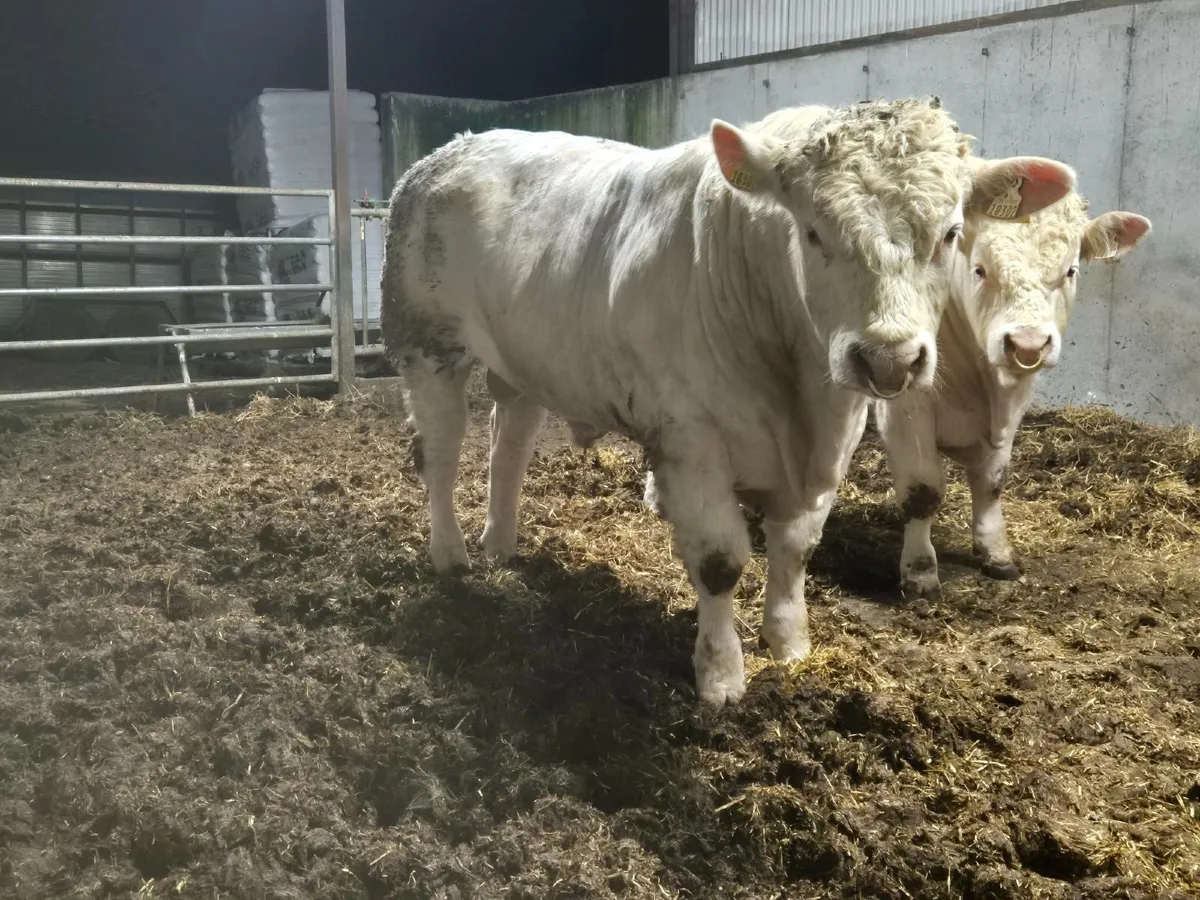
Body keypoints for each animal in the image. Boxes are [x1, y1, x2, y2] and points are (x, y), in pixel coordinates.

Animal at [380, 97, 1077, 705]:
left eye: (952, 233)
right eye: (813, 232)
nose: (888, 359)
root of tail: (453, 148)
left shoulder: (837, 435)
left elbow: (796, 547)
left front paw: (790, 644)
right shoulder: (690, 439)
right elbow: (719, 562)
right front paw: (720, 676)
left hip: (522, 361)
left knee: (511, 445)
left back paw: (500, 541)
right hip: (426, 344)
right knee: (440, 454)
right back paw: (451, 556)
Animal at [873, 191, 1151, 599]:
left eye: (1070, 271)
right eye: (979, 270)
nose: (1027, 344)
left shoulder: (1015, 404)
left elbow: (992, 482)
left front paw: (996, 552)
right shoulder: (906, 409)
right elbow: (923, 491)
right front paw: (921, 572)